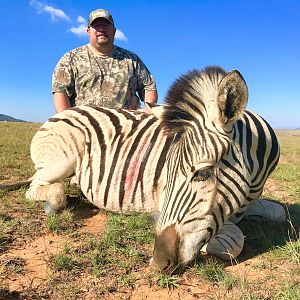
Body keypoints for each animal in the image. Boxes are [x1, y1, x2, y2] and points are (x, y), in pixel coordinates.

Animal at [0, 65, 286, 270]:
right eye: (166, 173)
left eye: (203, 173)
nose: (158, 261)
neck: (253, 183)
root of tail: (64, 112)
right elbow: (231, 241)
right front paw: (210, 243)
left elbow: (279, 212)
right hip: (60, 161)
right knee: (39, 188)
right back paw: (53, 200)